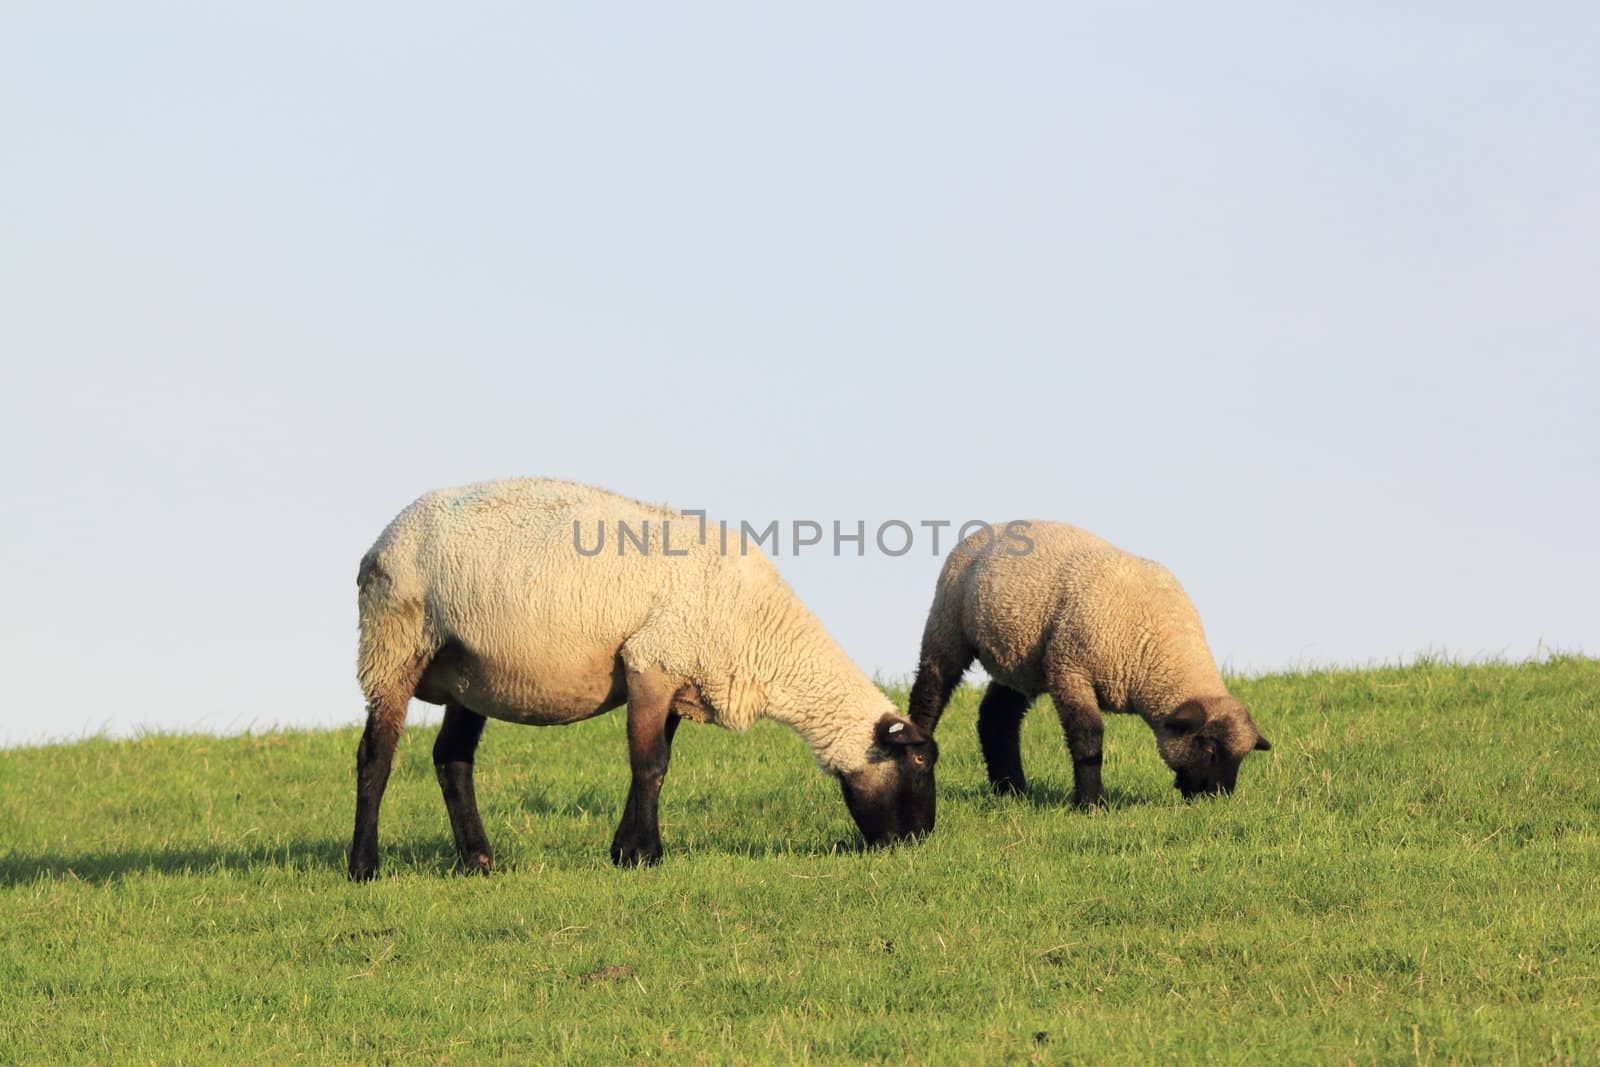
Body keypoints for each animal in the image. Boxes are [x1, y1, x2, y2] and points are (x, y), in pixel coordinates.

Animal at [344, 479, 934, 883]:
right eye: (919, 763)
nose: (918, 841)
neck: (764, 635)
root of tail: (378, 544)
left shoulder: (675, 678)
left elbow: (655, 766)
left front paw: (625, 851)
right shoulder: (653, 659)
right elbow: (649, 764)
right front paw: (648, 854)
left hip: (469, 670)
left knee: (452, 758)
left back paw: (479, 860)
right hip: (394, 642)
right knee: (376, 754)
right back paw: (364, 866)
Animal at [908, 521, 1267, 806]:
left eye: (1241, 758)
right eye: (1210, 751)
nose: (1216, 797)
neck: (1157, 643)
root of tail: (988, 528)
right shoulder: (1070, 670)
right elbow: (1088, 737)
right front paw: (1092, 803)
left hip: (1023, 662)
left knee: (997, 717)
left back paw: (1012, 790)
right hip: (947, 625)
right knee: (929, 693)